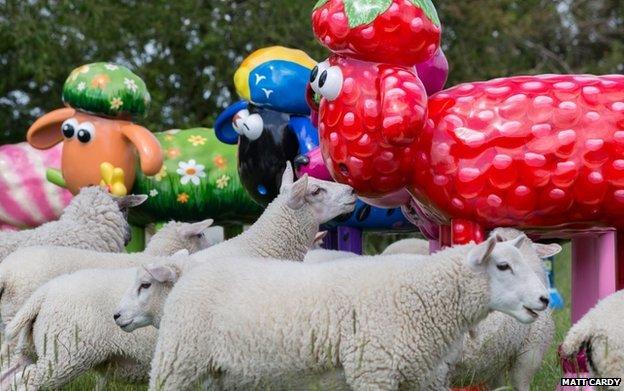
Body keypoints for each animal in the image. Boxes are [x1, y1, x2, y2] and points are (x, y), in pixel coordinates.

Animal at [149, 234, 548, 390]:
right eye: (502, 266)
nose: (545, 300)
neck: (421, 292)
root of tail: (190, 273)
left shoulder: (416, 376)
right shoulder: (373, 370)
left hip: (219, 373)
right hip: (177, 361)